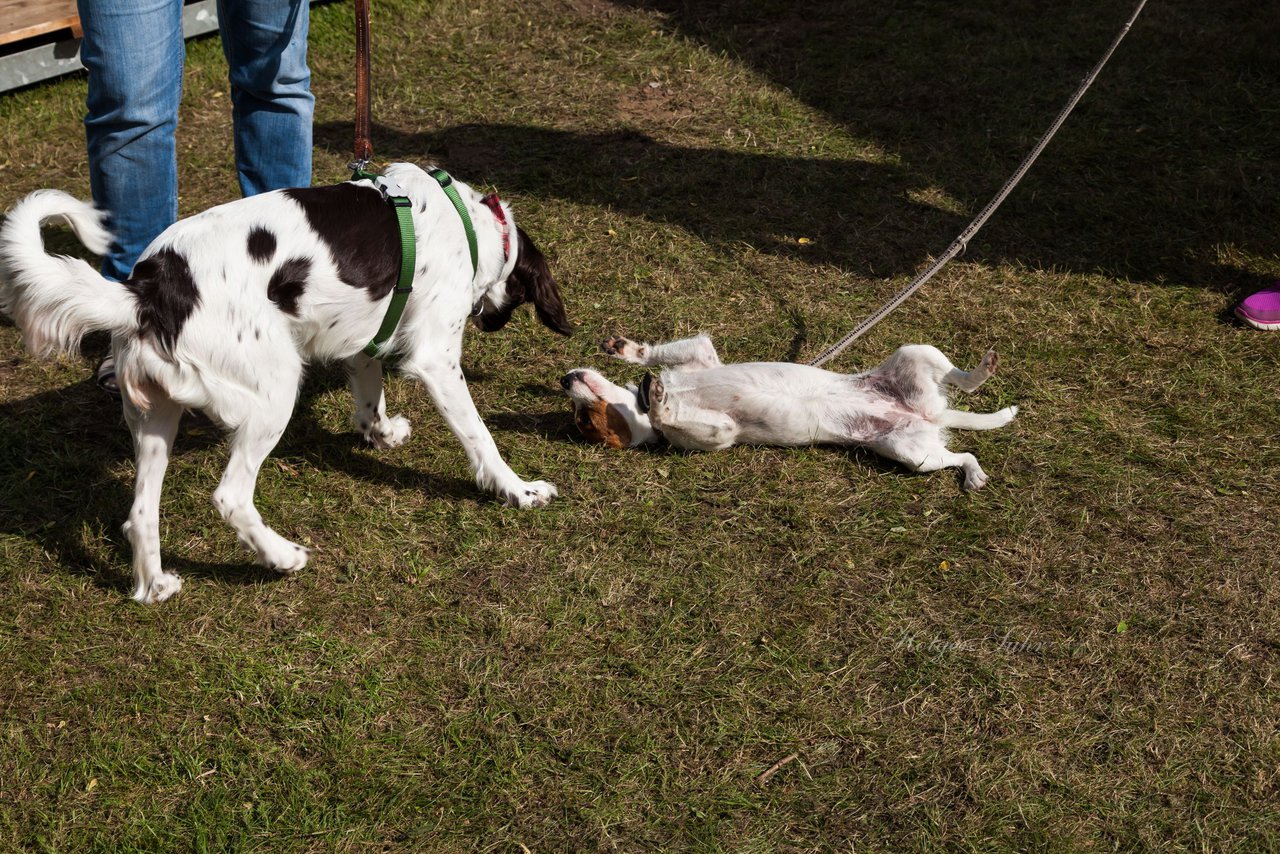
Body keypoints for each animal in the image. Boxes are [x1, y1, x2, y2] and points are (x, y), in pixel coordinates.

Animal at [0, 160, 570, 601]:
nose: (490, 321)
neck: (468, 221)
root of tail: (147, 290)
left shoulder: (363, 338)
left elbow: (370, 398)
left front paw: (382, 434)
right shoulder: (437, 359)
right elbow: (481, 439)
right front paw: (518, 491)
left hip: (156, 416)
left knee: (140, 513)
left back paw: (155, 585)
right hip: (273, 392)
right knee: (230, 496)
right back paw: (280, 557)